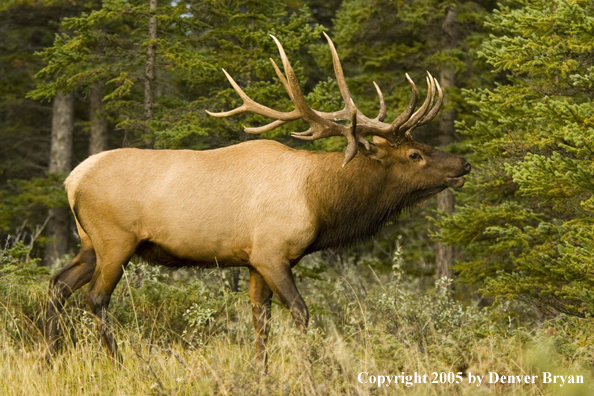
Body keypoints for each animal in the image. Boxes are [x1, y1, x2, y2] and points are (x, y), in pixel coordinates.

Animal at [44, 32, 470, 370]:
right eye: (414, 155)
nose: (463, 163)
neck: (321, 201)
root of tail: (72, 179)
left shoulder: (252, 261)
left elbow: (259, 321)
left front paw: (261, 372)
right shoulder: (272, 252)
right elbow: (300, 313)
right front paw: (308, 369)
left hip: (90, 243)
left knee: (57, 284)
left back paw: (49, 359)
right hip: (116, 240)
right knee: (95, 297)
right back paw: (120, 364)